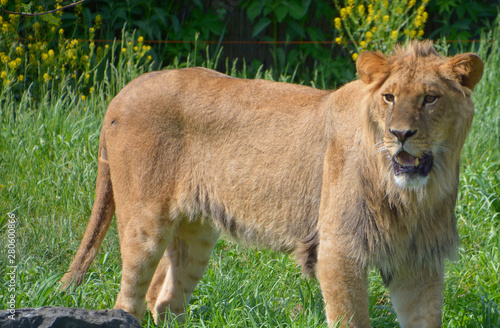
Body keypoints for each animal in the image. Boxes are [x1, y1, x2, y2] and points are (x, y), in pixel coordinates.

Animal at [60, 41, 482, 328]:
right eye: (389, 97)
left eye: (430, 98)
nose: (400, 134)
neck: (411, 196)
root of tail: (123, 92)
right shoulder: (339, 250)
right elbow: (351, 318)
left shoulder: (420, 260)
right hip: (144, 222)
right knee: (127, 300)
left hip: (195, 232)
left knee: (164, 298)